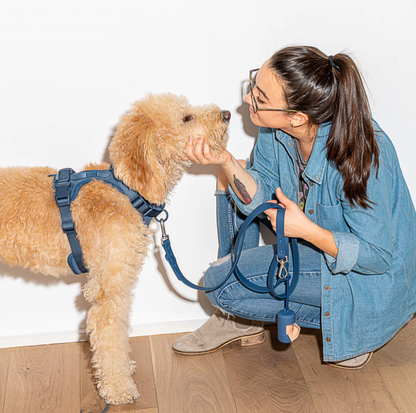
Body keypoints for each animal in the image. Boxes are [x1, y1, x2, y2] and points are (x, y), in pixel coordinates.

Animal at [0, 92, 229, 402]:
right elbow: (111, 336)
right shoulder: (109, 289)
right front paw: (118, 388)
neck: (128, 191)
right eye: (186, 117)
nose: (227, 114)